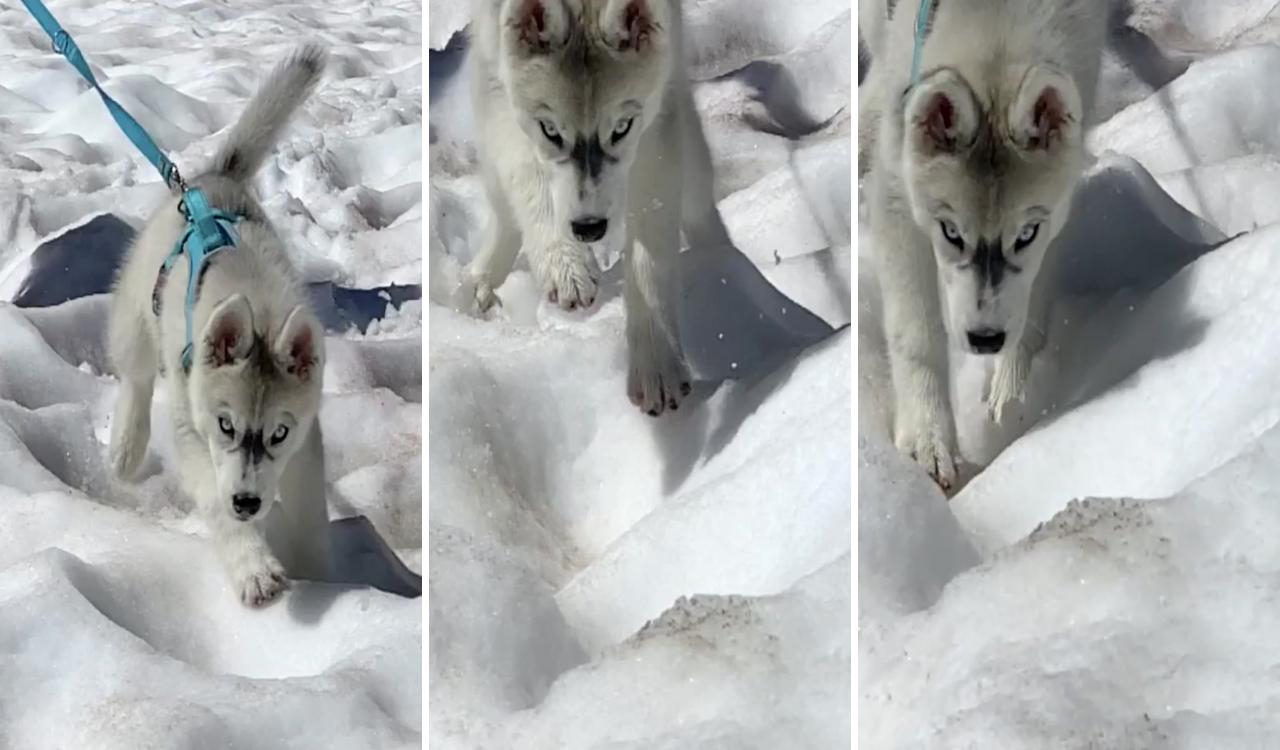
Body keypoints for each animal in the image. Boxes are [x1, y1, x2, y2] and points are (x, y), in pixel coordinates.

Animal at [109, 43, 330, 604]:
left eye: (279, 432)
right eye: (226, 424)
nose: (248, 503)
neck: (259, 306)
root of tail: (211, 183)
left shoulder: (306, 441)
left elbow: (310, 515)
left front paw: (324, 577)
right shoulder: (193, 431)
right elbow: (215, 504)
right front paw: (254, 567)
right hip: (137, 316)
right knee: (135, 377)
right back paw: (126, 445)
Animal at [465, 0, 737, 414]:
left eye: (621, 128)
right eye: (550, 131)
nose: (589, 228)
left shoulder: (656, 114)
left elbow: (649, 253)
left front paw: (656, 362)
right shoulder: (496, 81)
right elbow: (531, 178)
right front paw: (565, 265)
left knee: (698, 201)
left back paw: (727, 264)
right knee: (502, 204)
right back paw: (481, 279)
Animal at [865, 0, 1105, 486]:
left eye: (1025, 234)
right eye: (951, 232)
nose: (985, 339)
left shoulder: (1056, 209)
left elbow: (1030, 310)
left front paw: (1011, 398)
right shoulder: (896, 197)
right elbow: (915, 334)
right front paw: (926, 440)